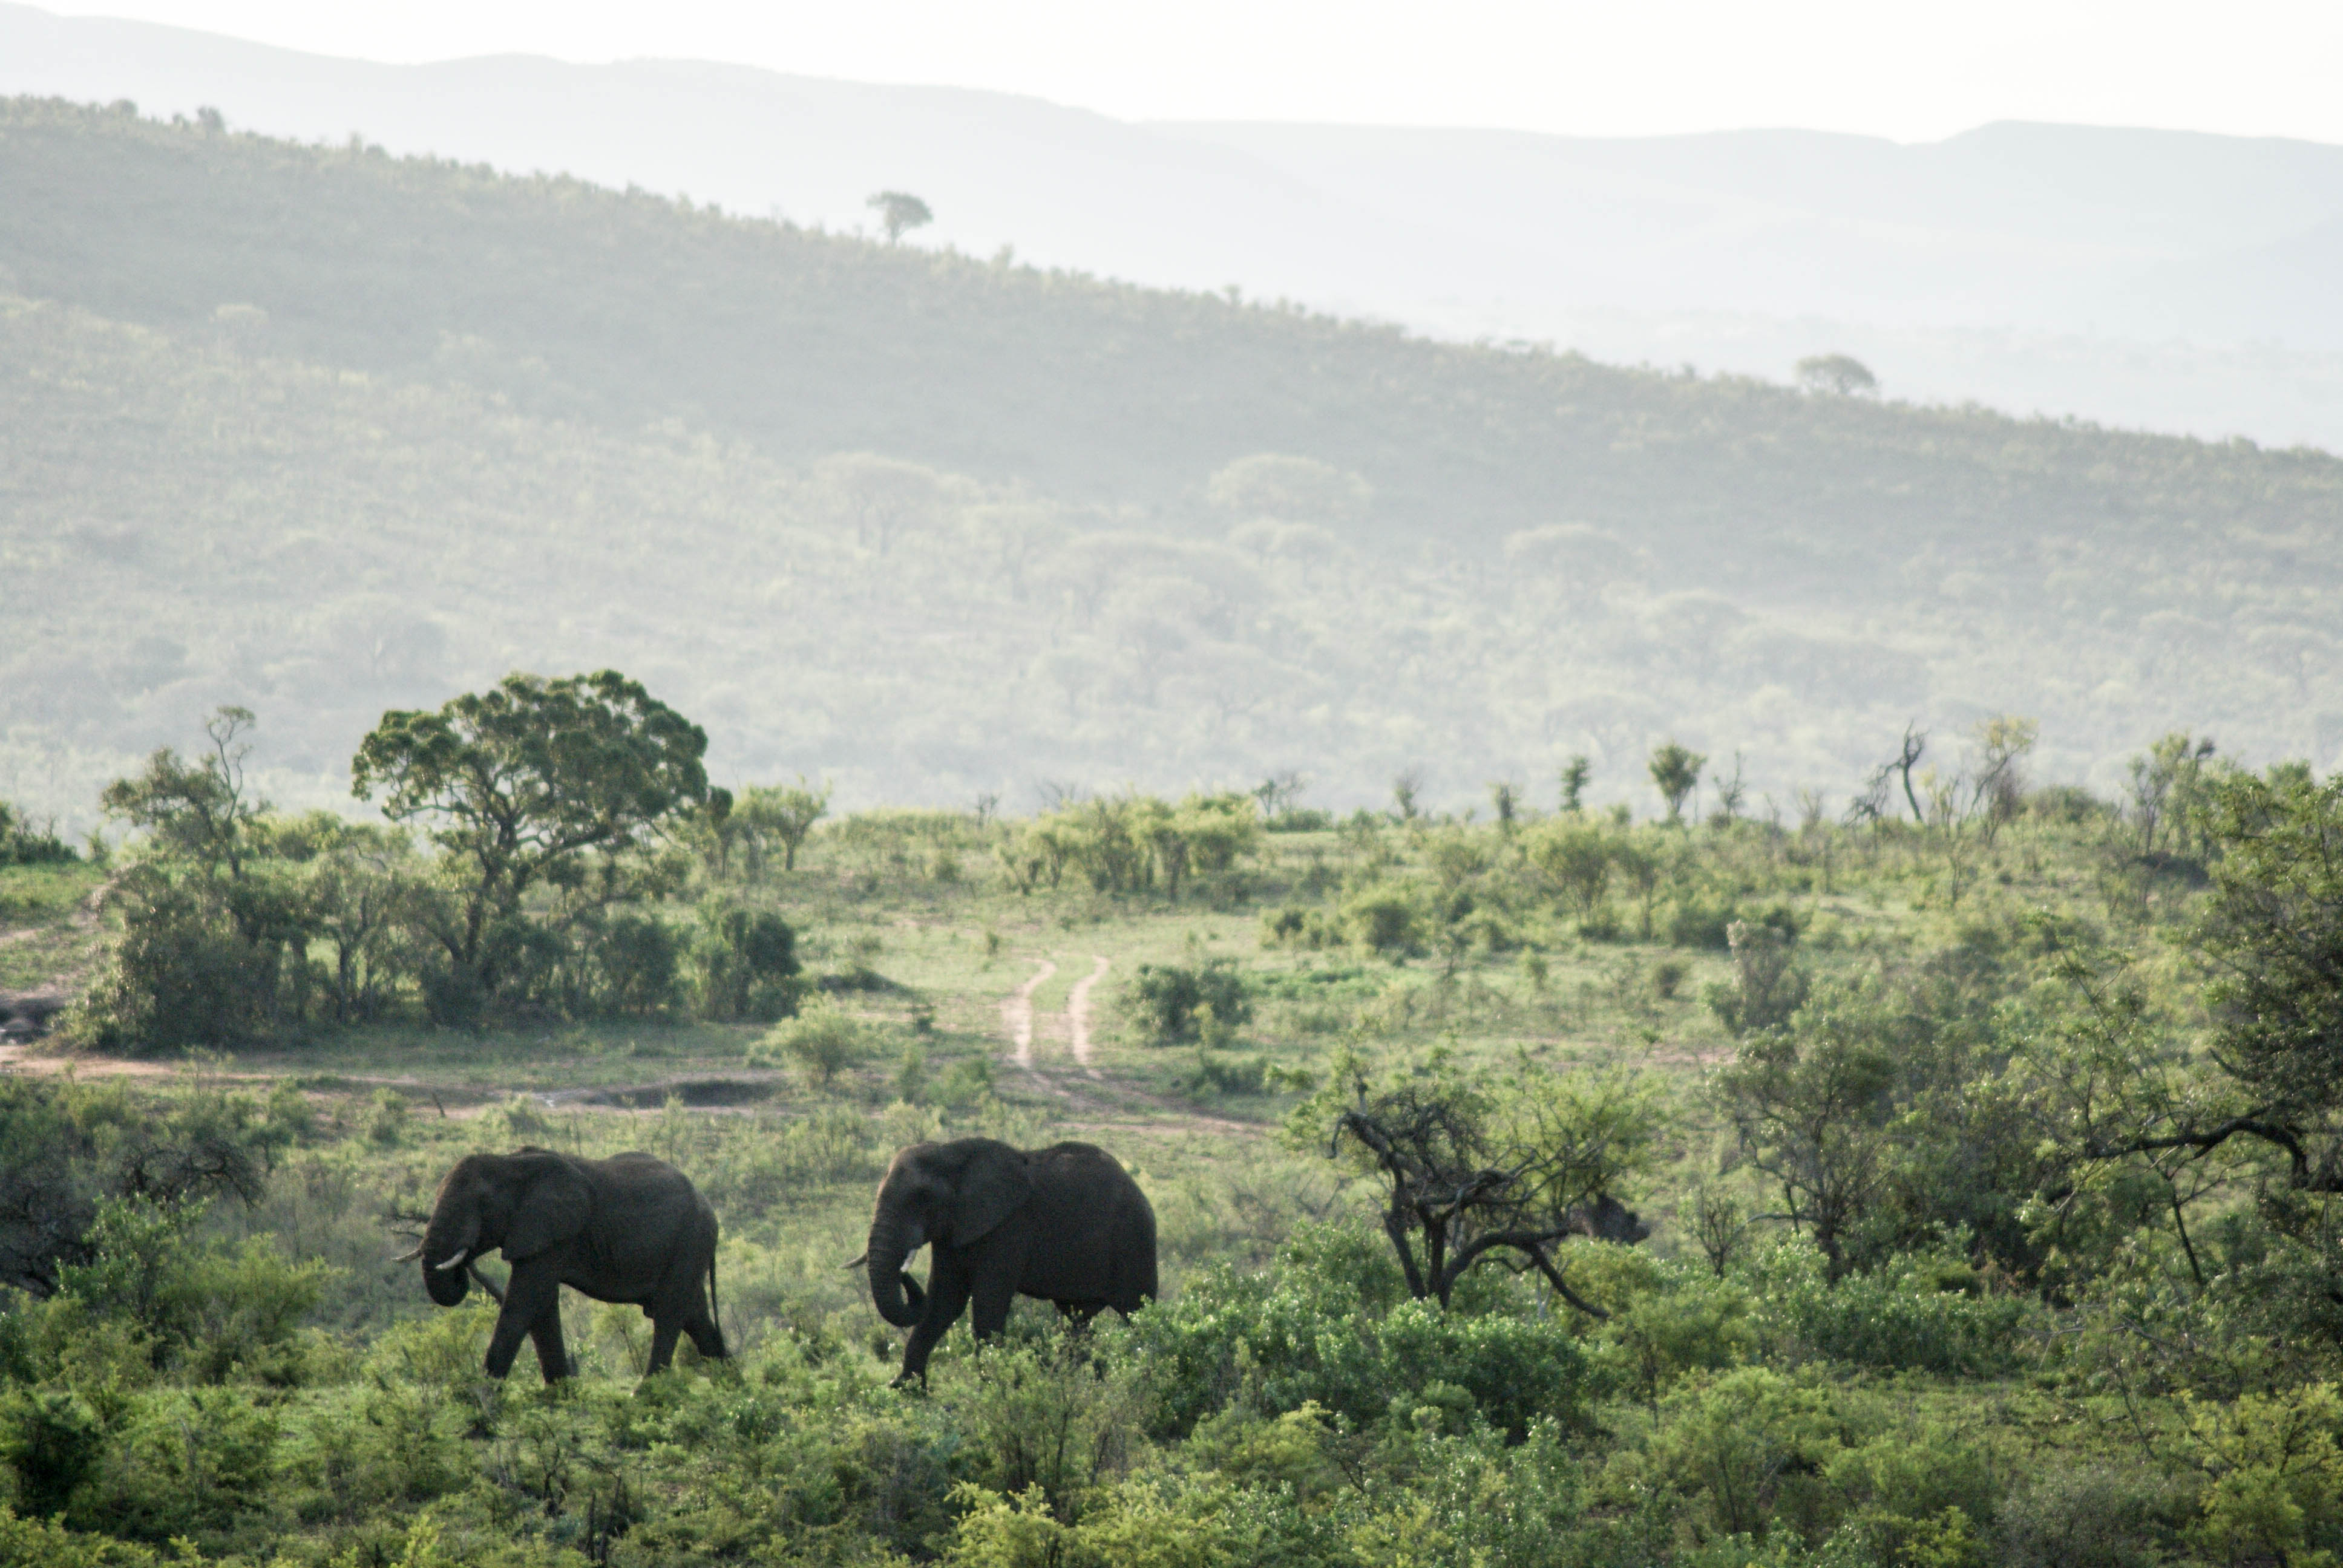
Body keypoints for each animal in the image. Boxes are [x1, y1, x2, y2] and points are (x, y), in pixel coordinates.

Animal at [401, 1138, 721, 1378]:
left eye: (482, 1204)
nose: (464, 1262)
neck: (508, 1163)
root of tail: (708, 1205)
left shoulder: (553, 1232)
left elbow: (525, 1302)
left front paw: (481, 1408)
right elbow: (542, 1305)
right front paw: (561, 1397)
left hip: (691, 1240)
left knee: (669, 1312)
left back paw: (645, 1395)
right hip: (689, 1247)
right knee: (695, 1316)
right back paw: (728, 1384)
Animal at [862, 1138, 1153, 1378]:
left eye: (921, 1199)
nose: (903, 1270)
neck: (951, 1152)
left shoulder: (1010, 1227)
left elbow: (988, 1307)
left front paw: (994, 1388)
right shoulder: (951, 1233)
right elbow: (944, 1302)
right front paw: (908, 1391)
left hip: (1135, 1243)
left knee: (1138, 1314)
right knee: (1077, 1320)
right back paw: (1067, 1380)